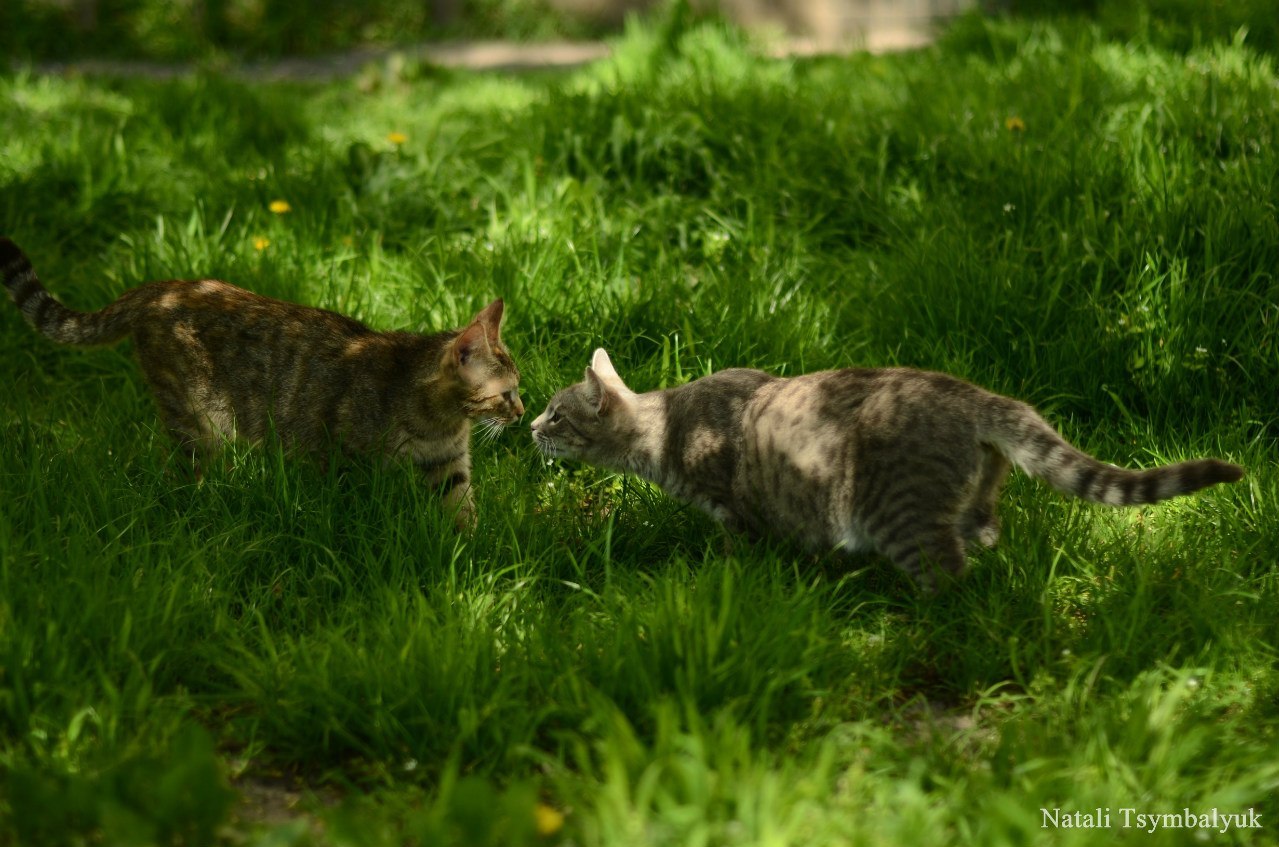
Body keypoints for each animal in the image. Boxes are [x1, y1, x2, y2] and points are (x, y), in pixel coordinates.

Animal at [0, 236, 521, 524]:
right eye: (506, 393)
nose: (519, 412)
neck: (441, 421)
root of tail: (164, 286)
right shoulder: (345, 460)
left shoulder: (450, 468)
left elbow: (463, 515)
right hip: (201, 422)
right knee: (185, 476)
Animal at [534, 350, 1243, 591]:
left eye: (557, 415)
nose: (530, 428)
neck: (668, 423)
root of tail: (973, 394)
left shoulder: (732, 510)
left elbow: (737, 550)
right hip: (973, 494)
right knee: (987, 532)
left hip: (899, 515)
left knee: (950, 572)